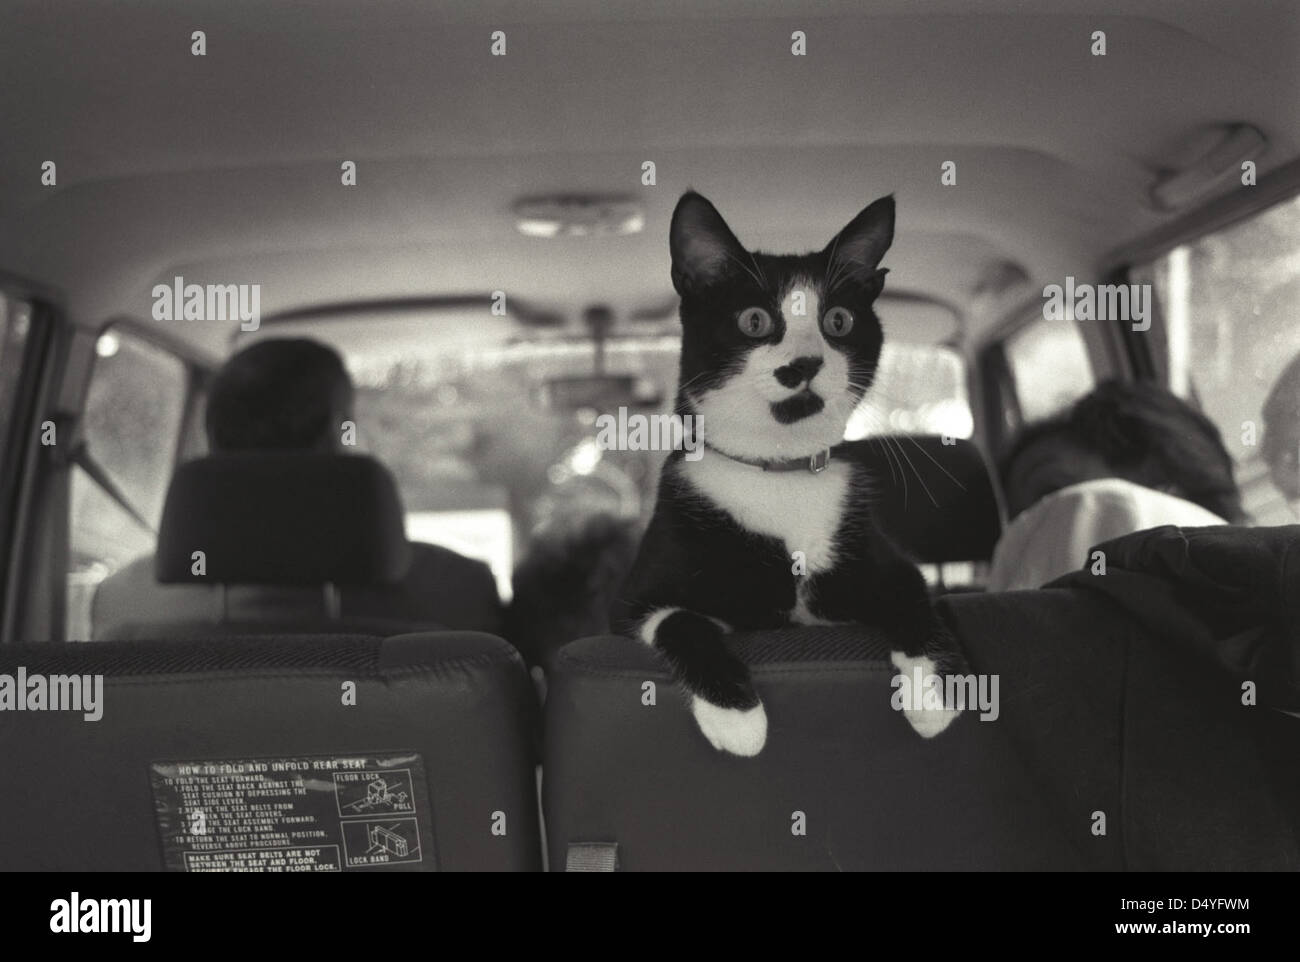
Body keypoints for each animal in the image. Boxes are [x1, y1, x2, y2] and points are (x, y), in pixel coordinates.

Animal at [611, 189, 967, 759]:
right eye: (754, 320)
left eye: (838, 321)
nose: (804, 364)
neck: (780, 473)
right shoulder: (635, 601)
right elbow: (680, 620)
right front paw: (737, 718)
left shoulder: (887, 563)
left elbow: (914, 599)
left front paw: (932, 695)